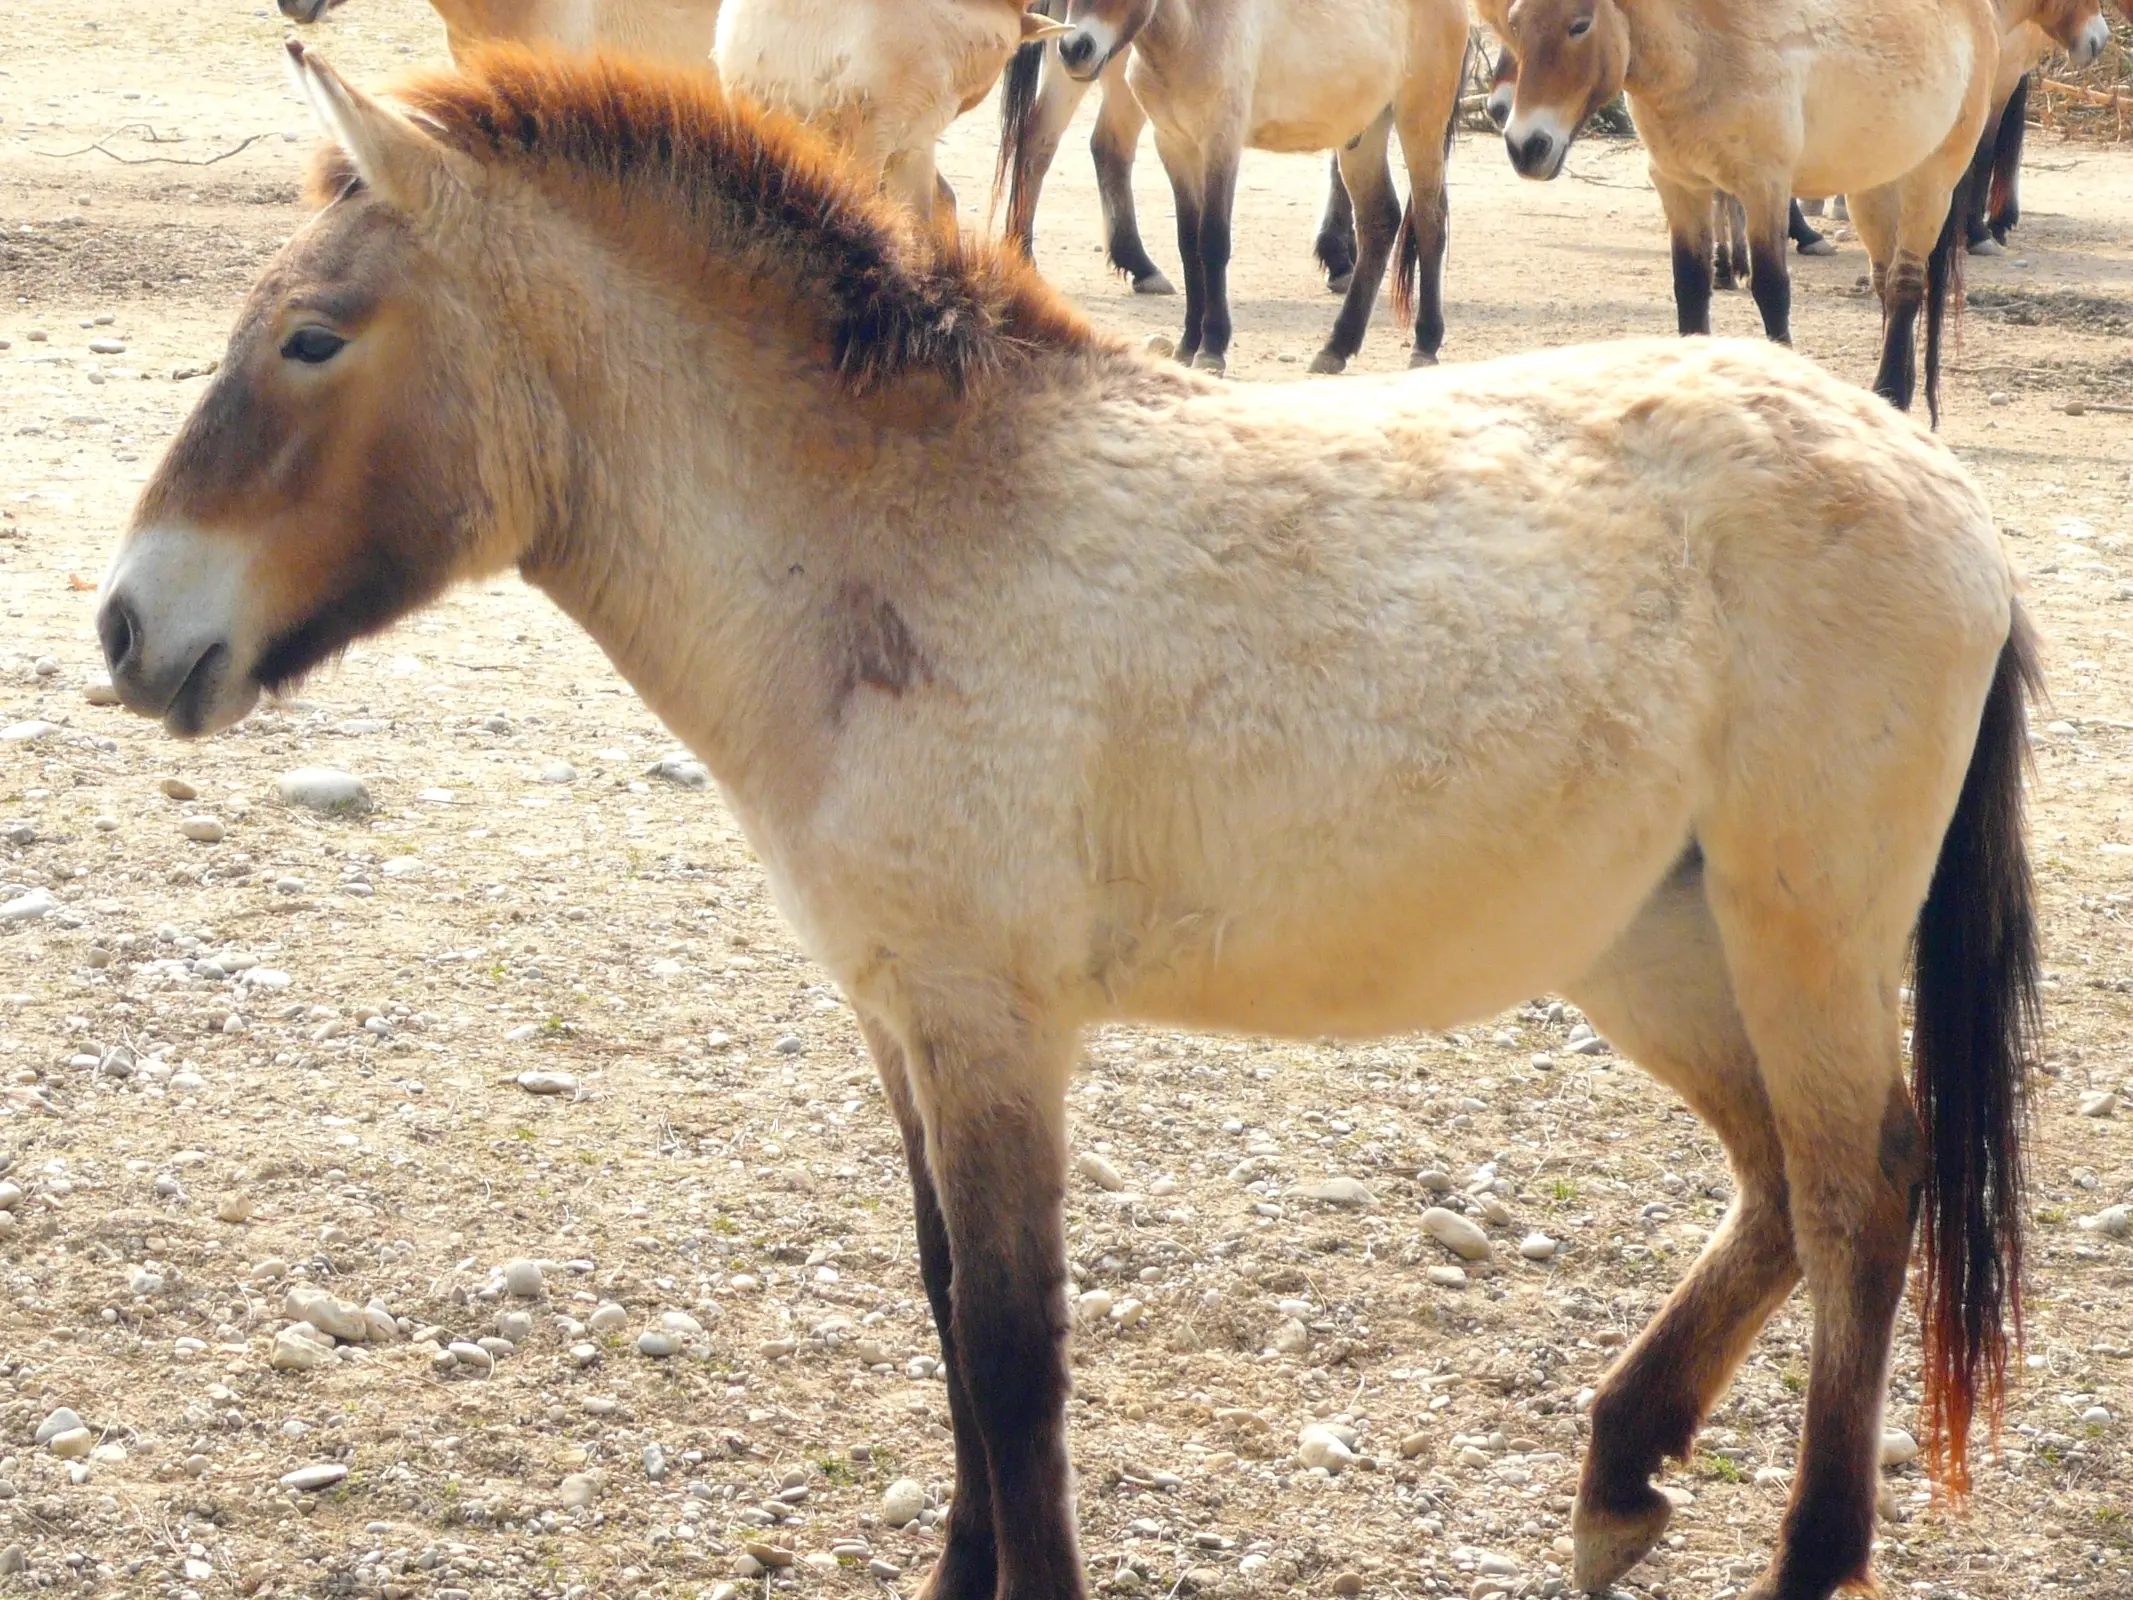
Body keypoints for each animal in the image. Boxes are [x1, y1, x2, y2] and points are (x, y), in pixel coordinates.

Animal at [108, 43, 2039, 1600]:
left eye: (309, 339)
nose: (130, 628)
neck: (885, 544)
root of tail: (1940, 487)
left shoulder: (995, 1027)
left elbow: (1014, 1348)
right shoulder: (902, 1018)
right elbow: (947, 1310)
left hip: (1798, 937)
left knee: (1861, 1193)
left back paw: (1800, 1552)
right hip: (1655, 945)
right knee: (1783, 1182)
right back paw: (1619, 1472)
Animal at [998, 0, 1467, 375]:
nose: (1076, 49)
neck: (1191, 28)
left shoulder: (1220, 143)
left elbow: (1212, 243)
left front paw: (1212, 347)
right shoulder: (1174, 145)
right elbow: (1188, 244)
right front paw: (1187, 344)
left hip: (1420, 120)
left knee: (1430, 221)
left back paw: (1425, 344)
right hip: (1364, 134)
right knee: (1379, 221)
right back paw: (1336, 349)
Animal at [1493, 0, 2005, 422]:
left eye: (1579, 24)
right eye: (1515, 23)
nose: (1525, 146)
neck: (1704, 51)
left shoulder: (1765, 189)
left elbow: (1772, 292)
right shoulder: (1680, 187)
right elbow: (1690, 287)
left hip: (1932, 181)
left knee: (1905, 285)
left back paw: (1892, 396)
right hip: (1873, 189)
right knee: (1886, 283)